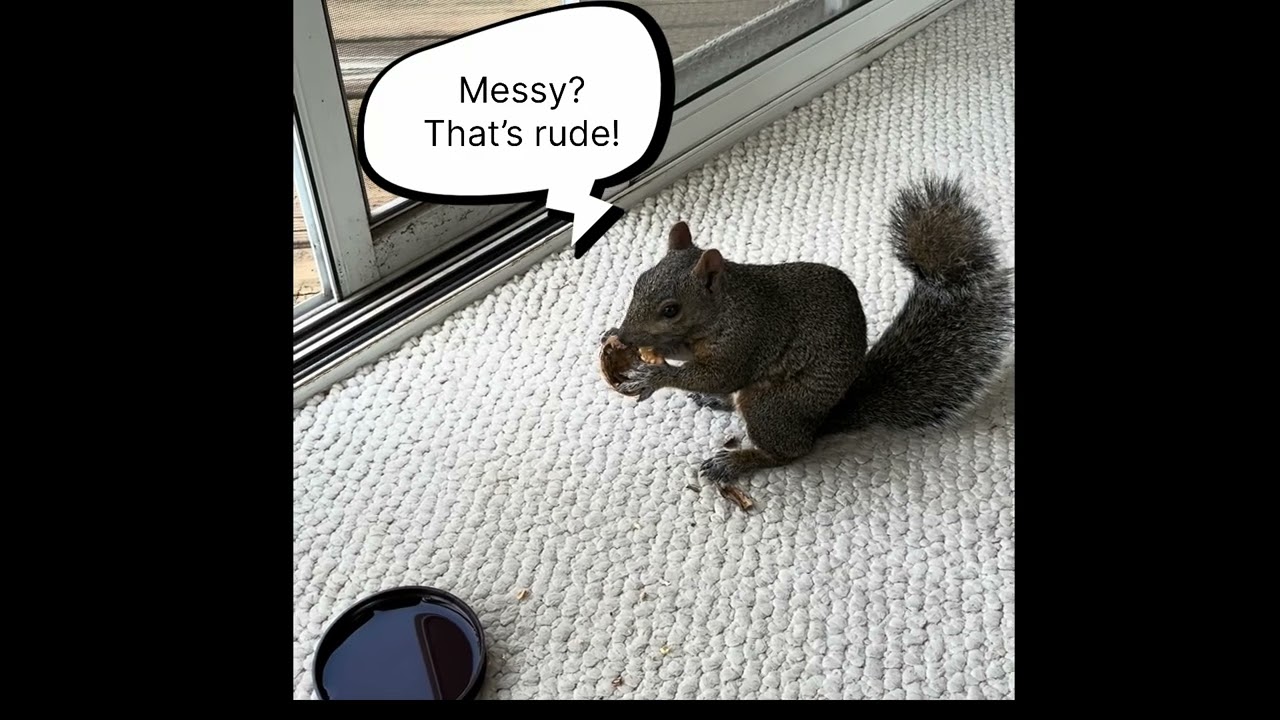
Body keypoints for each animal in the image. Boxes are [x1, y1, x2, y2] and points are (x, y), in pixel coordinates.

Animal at [602, 175, 1014, 486]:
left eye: (671, 310)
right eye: (639, 282)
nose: (627, 336)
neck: (725, 307)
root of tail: (820, 421)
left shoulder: (749, 337)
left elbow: (718, 374)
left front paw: (654, 376)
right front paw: (616, 336)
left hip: (770, 406)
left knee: (788, 451)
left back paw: (737, 461)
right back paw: (716, 403)